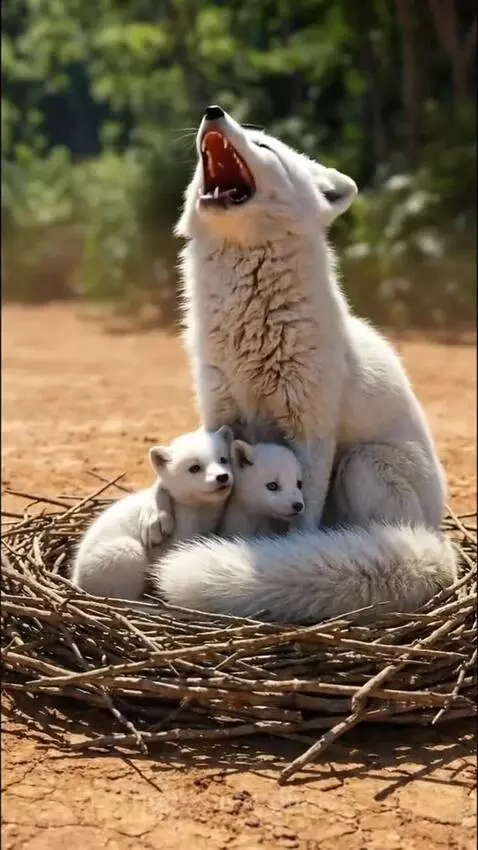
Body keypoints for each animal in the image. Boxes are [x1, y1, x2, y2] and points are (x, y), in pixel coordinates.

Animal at [71, 426, 233, 601]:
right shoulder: (177, 540)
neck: (198, 509)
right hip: (129, 551)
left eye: (223, 459)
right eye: (194, 468)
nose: (222, 477)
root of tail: (77, 580)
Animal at [150, 104, 456, 623]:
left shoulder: (311, 433)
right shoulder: (219, 414)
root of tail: (442, 547)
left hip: (363, 464)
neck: (249, 323)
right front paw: (157, 514)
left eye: (265, 145)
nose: (213, 112)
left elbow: (304, 517)